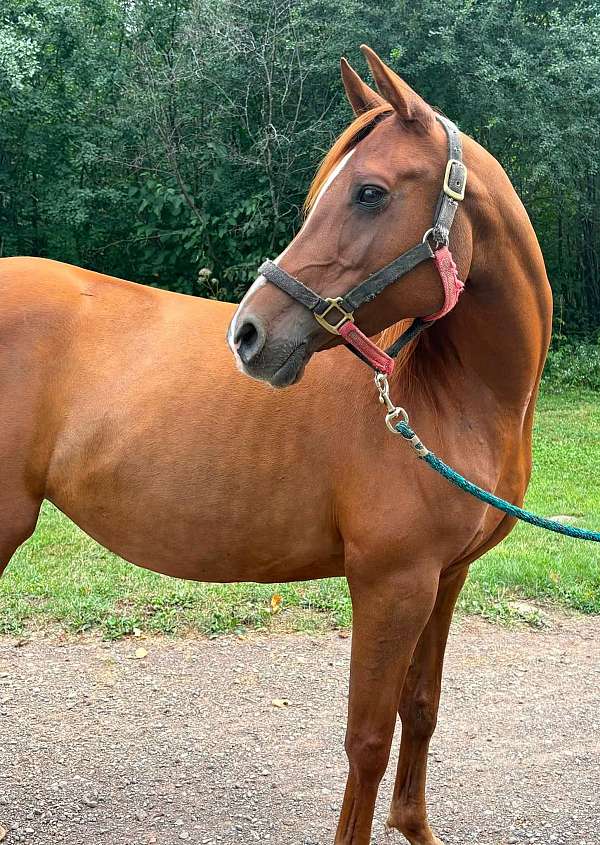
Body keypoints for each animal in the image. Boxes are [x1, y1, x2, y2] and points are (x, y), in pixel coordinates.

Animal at [0, 43, 551, 845]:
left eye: (369, 193)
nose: (249, 335)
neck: (455, 397)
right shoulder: (391, 583)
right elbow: (368, 739)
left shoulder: (446, 578)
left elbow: (420, 710)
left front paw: (415, 826)